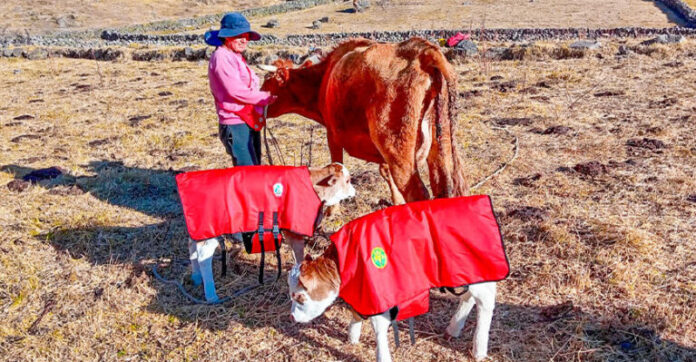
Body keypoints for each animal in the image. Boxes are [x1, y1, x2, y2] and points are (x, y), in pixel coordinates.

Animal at [189, 162, 356, 302]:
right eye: (348, 181)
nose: (354, 191)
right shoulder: (294, 230)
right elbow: (299, 255)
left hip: (198, 230)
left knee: (192, 249)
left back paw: (196, 278)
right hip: (210, 230)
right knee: (203, 256)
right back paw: (211, 295)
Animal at [260, 39, 468, 206]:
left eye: (267, 82)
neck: (323, 80)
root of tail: (422, 51)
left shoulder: (333, 135)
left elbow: (337, 165)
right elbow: (385, 173)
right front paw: (395, 201)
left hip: (397, 148)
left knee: (417, 193)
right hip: (441, 146)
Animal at [286, 246, 494, 362]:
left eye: (299, 296)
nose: (292, 317)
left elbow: (378, 326)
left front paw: (382, 357)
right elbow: (356, 311)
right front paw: (352, 337)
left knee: (486, 298)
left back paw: (479, 350)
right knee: (469, 296)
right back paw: (453, 329)